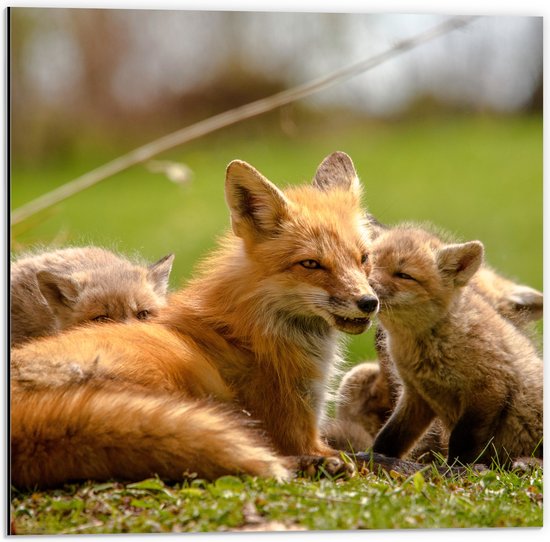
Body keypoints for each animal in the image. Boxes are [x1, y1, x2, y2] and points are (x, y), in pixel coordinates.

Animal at [368, 226, 544, 468]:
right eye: (368, 263)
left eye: (404, 275)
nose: (365, 287)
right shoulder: (417, 395)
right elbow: (390, 437)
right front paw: (373, 458)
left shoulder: (489, 388)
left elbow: (462, 440)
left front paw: (457, 468)